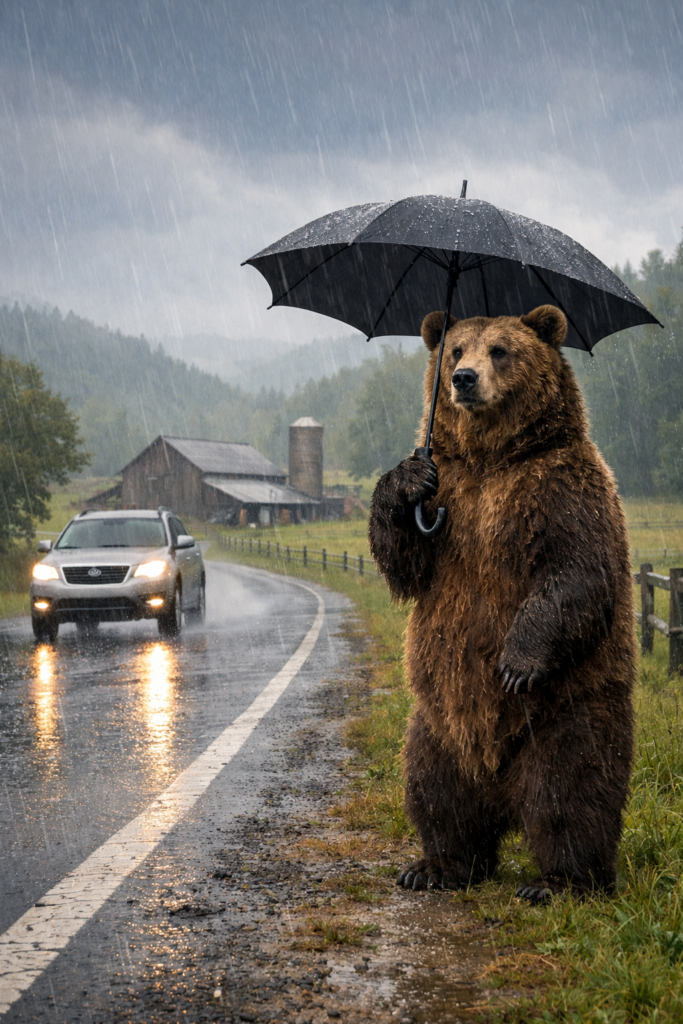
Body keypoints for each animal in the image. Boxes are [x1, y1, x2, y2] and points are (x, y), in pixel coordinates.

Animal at [368, 305, 636, 902]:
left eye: (500, 350)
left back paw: (559, 881)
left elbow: (577, 571)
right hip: (437, 720)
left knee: (570, 789)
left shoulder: (561, 487)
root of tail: (499, 785)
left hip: (569, 705)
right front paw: (404, 480)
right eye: (456, 349)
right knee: (435, 787)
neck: (491, 457)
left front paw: (516, 662)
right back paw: (436, 866)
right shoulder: (454, 488)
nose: (463, 379)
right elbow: (406, 563)